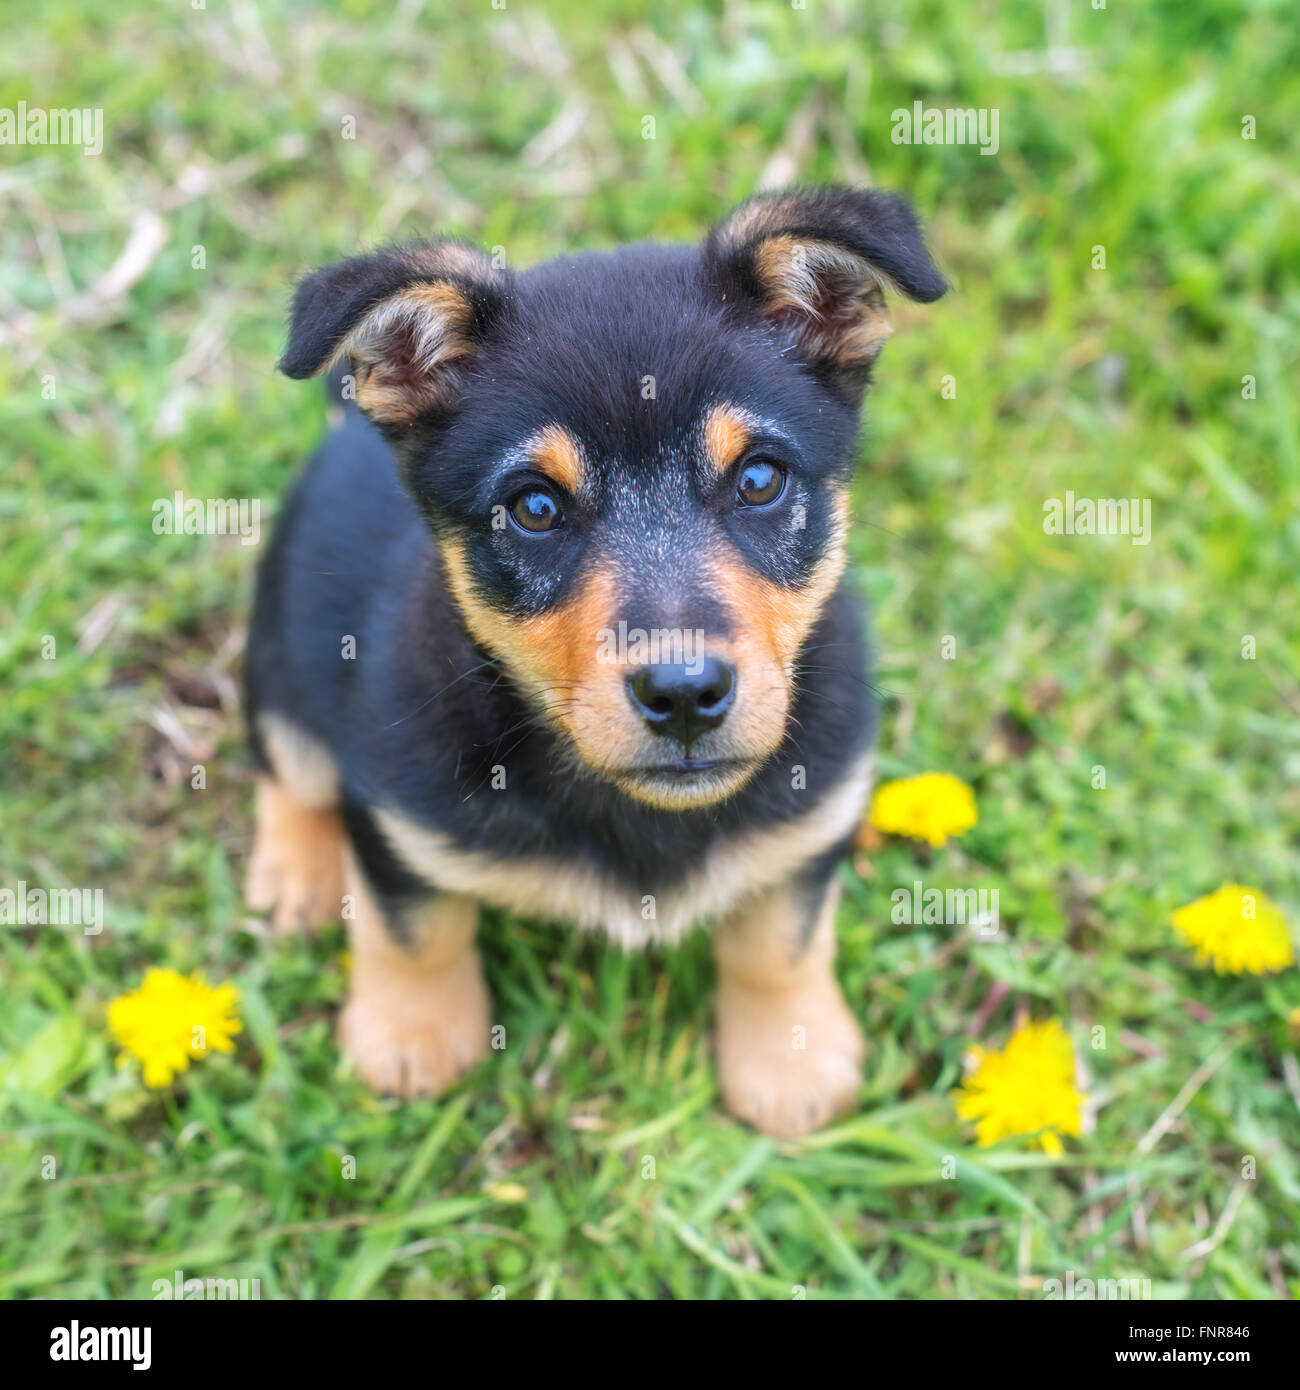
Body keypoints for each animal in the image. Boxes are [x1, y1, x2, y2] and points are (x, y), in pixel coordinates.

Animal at [246, 187, 945, 1139]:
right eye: (535, 507)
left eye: (760, 480)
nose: (684, 695)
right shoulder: (392, 812)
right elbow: (414, 929)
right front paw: (412, 1037)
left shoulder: (818, 807)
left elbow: (780, 941)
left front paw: (790, 1059)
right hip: (280, 665)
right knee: (286, 770)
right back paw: (295, 876)